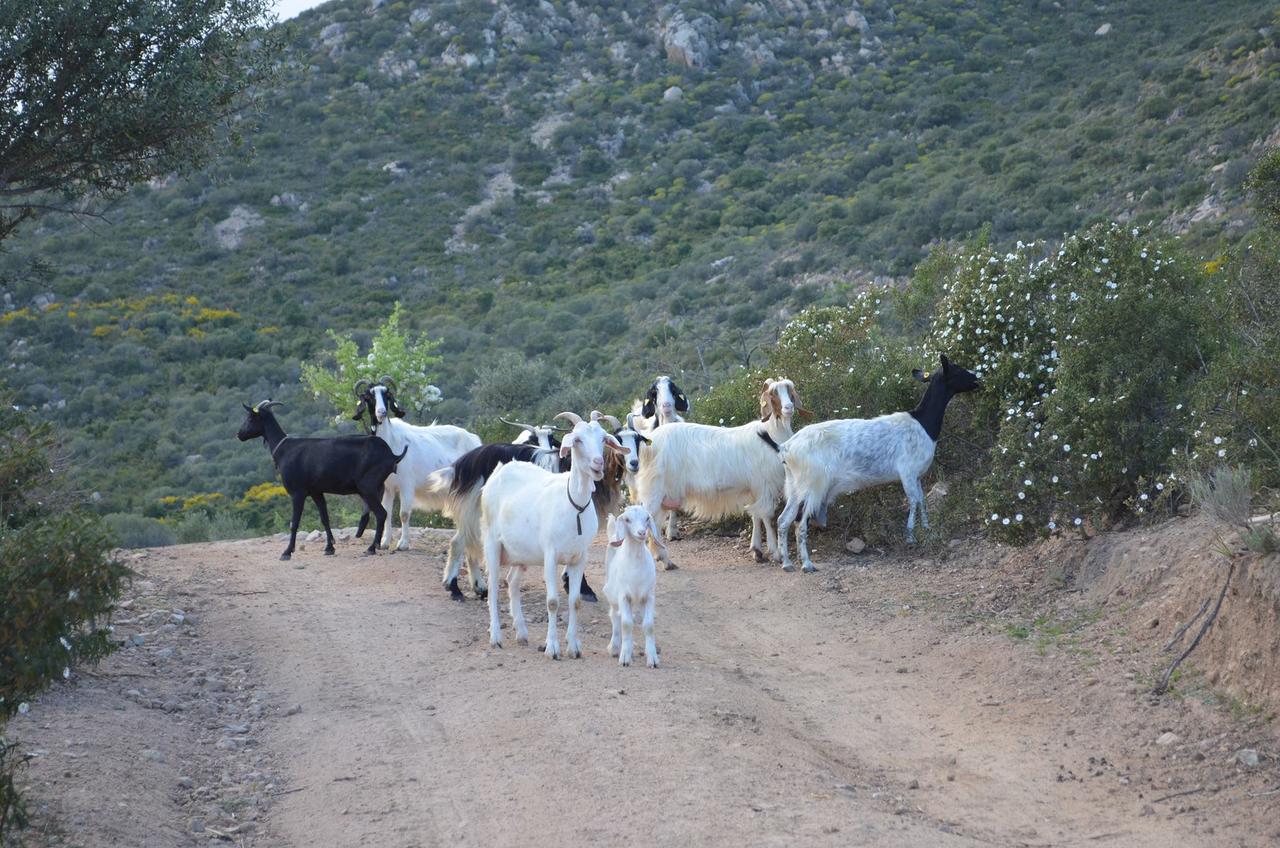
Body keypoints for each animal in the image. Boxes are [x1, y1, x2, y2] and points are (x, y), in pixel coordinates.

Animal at [235, 402, 404, 561]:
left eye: (250, 418)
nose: (239, 434)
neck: (284, 450)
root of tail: (392, 455)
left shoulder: (297, 492)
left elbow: (294, 523)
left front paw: (287, 552)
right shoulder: (316, 492)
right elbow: (325, 519)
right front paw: (329, 548)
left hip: (367, 488)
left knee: (381, 514)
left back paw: (371, 548)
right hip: (378, 487)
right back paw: (376, 545)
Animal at [353, 379, 481, 550]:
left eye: (387, 394)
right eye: (369, 396)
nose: (381, 412)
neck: (392, 442)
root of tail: (475, 440)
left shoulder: (407, 484)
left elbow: (404, 514)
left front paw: (403, 544)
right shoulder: (388, 487)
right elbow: (387, 513)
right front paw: (385, 542)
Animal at [481, 415, 624, 660]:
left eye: (603, 438)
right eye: (577, 439)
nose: (598, 463)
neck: (574, 504)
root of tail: (500, 471)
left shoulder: (579, 558)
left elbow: (575, 602)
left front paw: (574, 647)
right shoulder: (550, 555)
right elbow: (553, 602)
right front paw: (552, 648)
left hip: (521, 553)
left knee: (512, 582)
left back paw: (521, 633)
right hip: (492, 542)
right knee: (493, 586)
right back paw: (496, 637)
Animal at [629, 379, 798, 568]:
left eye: (790, 391)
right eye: (773, 394)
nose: (789, 408)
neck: (771, 432)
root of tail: (648, 443)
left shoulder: (753, 489)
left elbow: (755, 515)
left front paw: (757, 551)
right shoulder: (764, 485)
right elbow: (767, 516)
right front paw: (776, 552)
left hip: (663, 496)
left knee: (655, 525)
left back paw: (665, 560)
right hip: (654, 491)